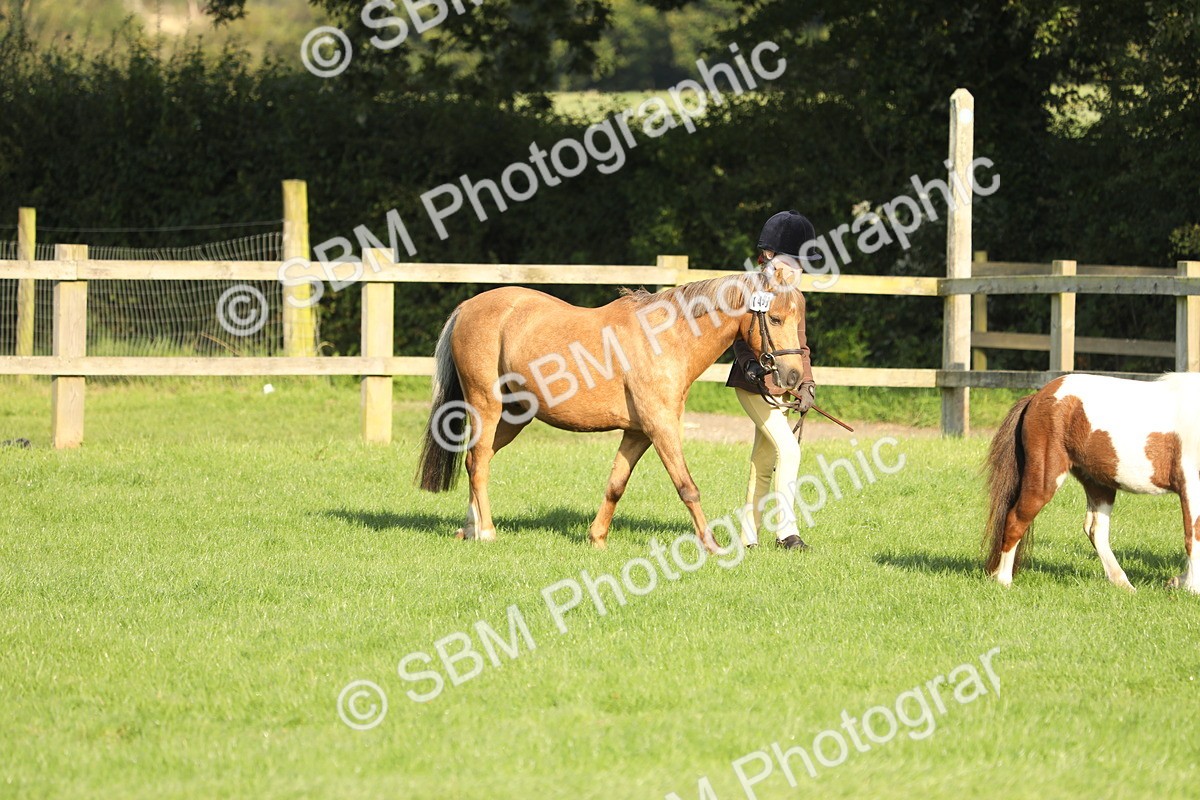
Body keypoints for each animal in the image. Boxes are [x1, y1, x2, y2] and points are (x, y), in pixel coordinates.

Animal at [415, 264, 811, 552]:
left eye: (797, 319)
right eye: (774, 319)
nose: (793, 376)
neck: (668, 337)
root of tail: (468, 307)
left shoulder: (638, 433)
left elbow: (615, 485)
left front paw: (597, 539)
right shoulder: (662, 427)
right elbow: (687, 486)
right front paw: (712, 546)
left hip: (513, 417)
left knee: (474, 460)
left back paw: (468, 529)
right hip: (486, 405)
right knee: (479, 461)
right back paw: (486, 532)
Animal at [984, 372, 1200, 593]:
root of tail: (1036, 398)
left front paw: (1177, 581)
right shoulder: (1191, 486)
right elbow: (1193, 536)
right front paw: (1192, 588)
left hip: (1099, 484)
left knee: (1096, 531)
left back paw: (1123, 583)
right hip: (1045, 479)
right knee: (1015, 520)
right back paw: (1004, 580)